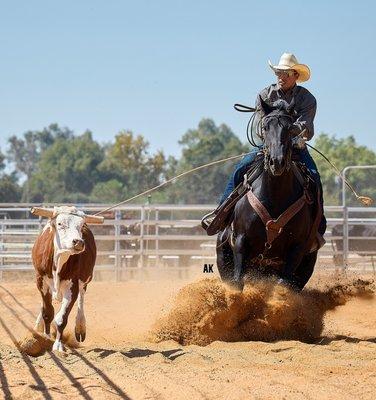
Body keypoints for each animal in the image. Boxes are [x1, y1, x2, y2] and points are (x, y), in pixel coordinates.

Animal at [217, 97, 320, 290]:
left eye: (290, 128)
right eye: (265, 127)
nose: (277, 161)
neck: (274, 196)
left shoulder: (297, 248)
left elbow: (283, 283)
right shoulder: (241, 240)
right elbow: (237, 281)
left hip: (305, 266)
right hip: (223, 254)